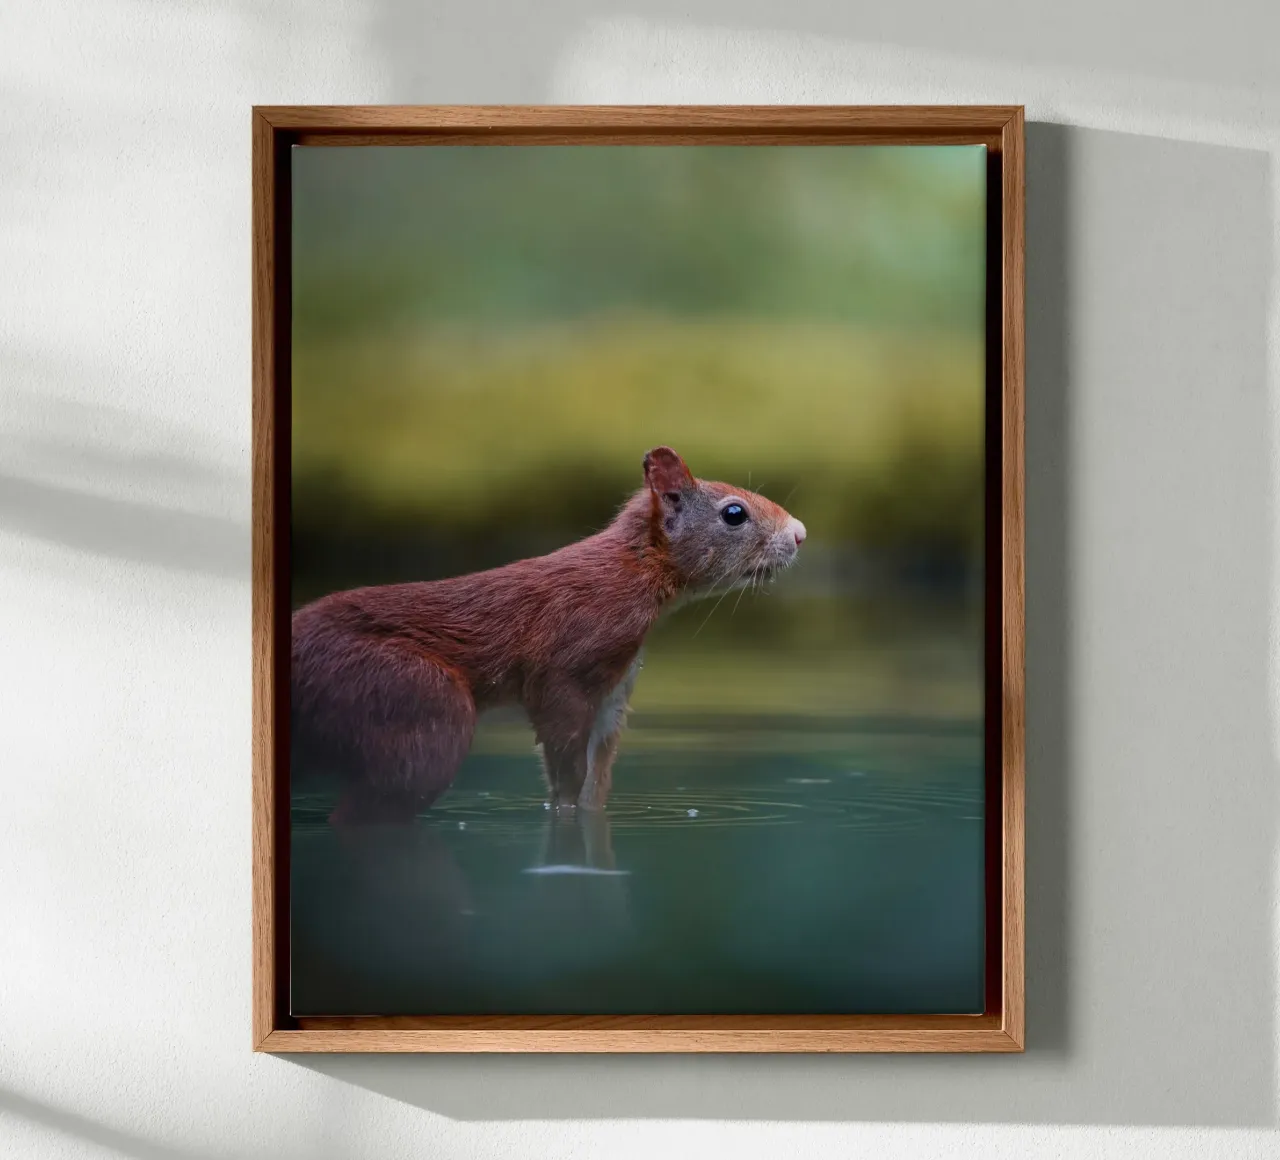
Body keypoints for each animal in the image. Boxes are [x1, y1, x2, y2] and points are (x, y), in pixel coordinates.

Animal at [290, 447, 806, 822]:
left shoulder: (614, 690)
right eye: (734, 513)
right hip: (412, 699)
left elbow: (596, 778)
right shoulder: (567, 663)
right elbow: (565, 764)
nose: (800, 534)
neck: (633, 573)